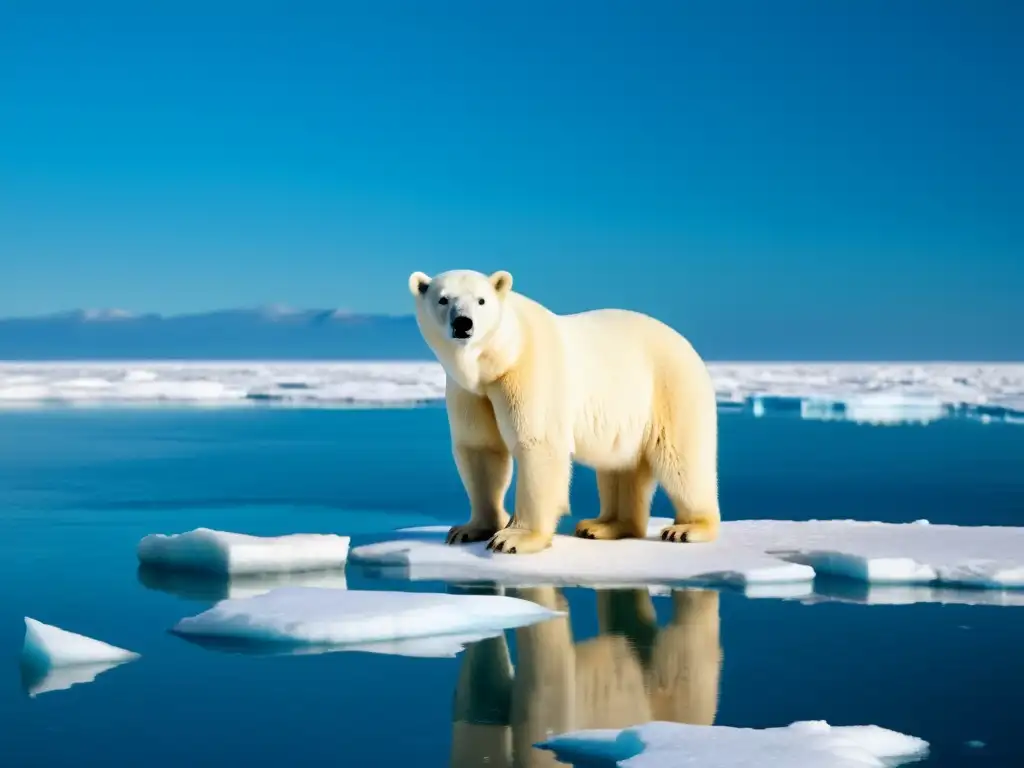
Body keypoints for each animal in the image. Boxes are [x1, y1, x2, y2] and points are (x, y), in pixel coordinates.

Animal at [407, 268, 720, 552]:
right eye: (443, 299)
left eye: (481, 300)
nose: (463, 323)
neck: (500, 357)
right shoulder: (470, 391)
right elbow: (480, 448)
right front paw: (468, 529)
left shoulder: (528, 371)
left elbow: (537, 443)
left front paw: (514, 538)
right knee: (620, 465)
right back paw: (601, 526)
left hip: (669, 389)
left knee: (680, 460)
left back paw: (687, 528)